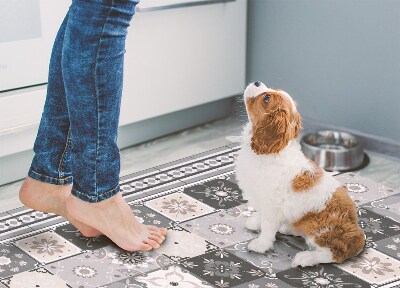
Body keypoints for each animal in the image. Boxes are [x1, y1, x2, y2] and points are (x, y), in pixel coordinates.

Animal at [234, 81, 366, 268]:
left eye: (266, 98)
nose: (257, 82)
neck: (272, 151)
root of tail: (359, 235)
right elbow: (262, 216)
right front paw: (255, 221)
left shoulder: (271, 204)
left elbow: (267, 227)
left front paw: (261, 244)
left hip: (320, 229)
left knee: (335, 252)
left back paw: (305, 258)